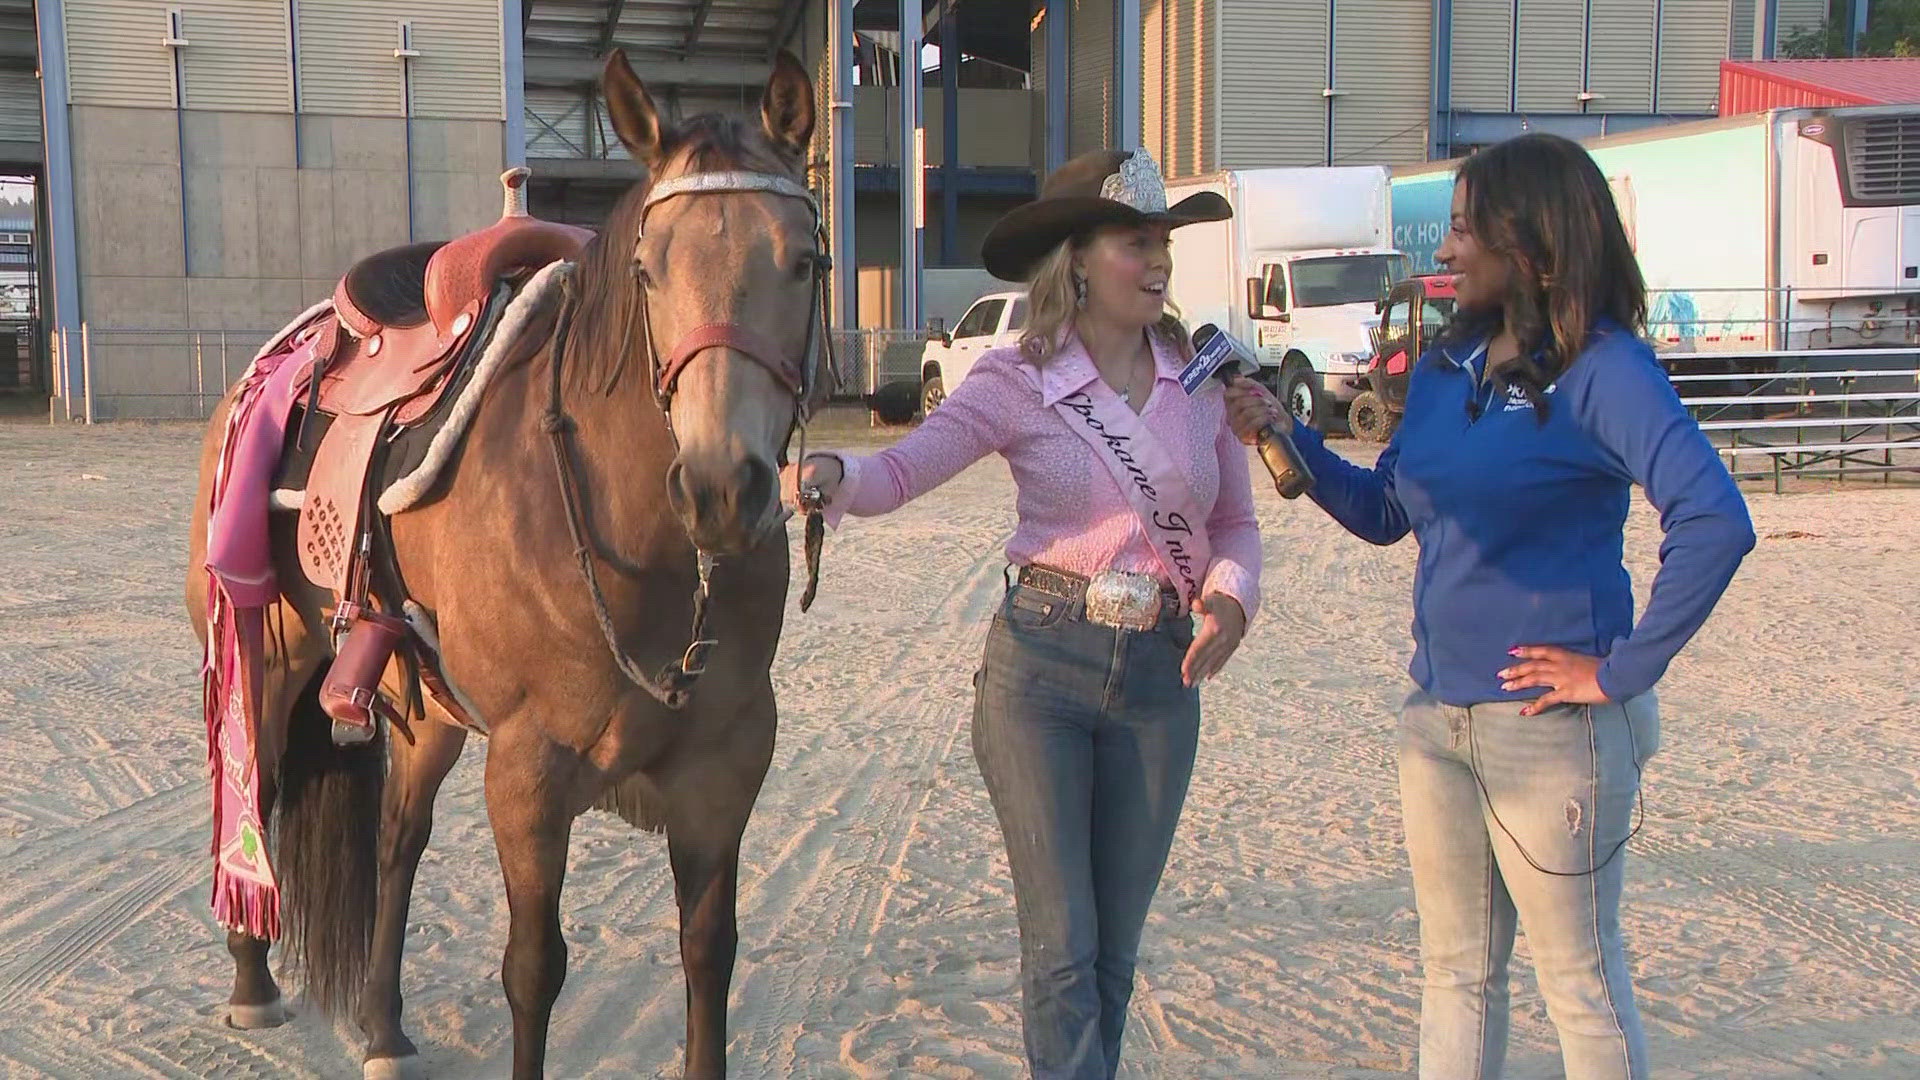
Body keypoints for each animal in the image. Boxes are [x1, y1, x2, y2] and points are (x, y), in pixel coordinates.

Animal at [183, 50, 829, 1076]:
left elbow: (708, 954)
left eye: (802, 262)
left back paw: (384, 1027)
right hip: (270, 655)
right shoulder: (529, 773)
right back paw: (253, 984)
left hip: (424, 712)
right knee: (257, 791)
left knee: (397, 842)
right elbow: (533, 968)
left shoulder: (726, 765)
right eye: (647, 269)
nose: (722, 488)